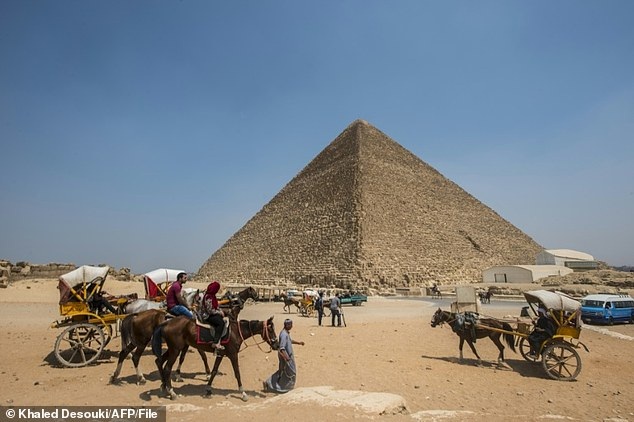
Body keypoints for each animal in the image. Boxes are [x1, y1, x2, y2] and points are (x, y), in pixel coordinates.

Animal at [110, 286, 258, 384]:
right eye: (234, 299)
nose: (235, 315)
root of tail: (135, 314)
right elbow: (202, 356)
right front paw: (207, 374)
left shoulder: (186, 343)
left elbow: (182, 358)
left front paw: (178, 375)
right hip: (142, 340)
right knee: (135, 356)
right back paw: (141, 377)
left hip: (137, 339)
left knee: (124, 352)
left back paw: (115, 376)